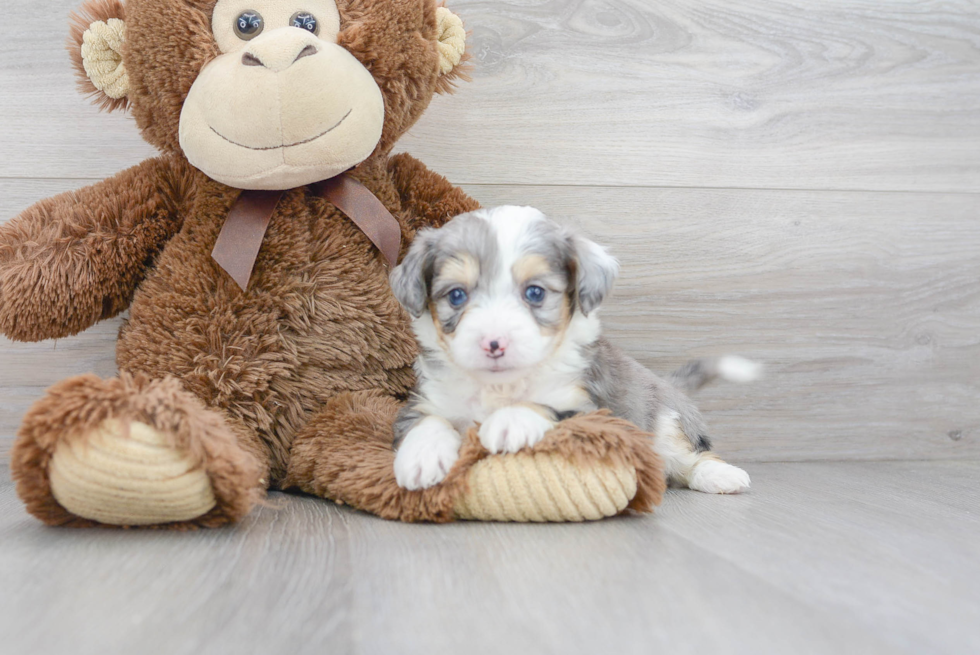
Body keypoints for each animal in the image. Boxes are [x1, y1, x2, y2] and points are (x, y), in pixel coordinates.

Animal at [386, 205, 756, 492]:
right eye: (456, 295)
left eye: (535, 292)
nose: (494, 344)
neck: (501, 387)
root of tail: (664, 382)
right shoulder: (428, 399)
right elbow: (427, 420)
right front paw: (421, 457)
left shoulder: (591, 411)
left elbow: (548, 404)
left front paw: (510, 421)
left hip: (663, 423)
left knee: (689, 457)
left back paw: (721, 475)